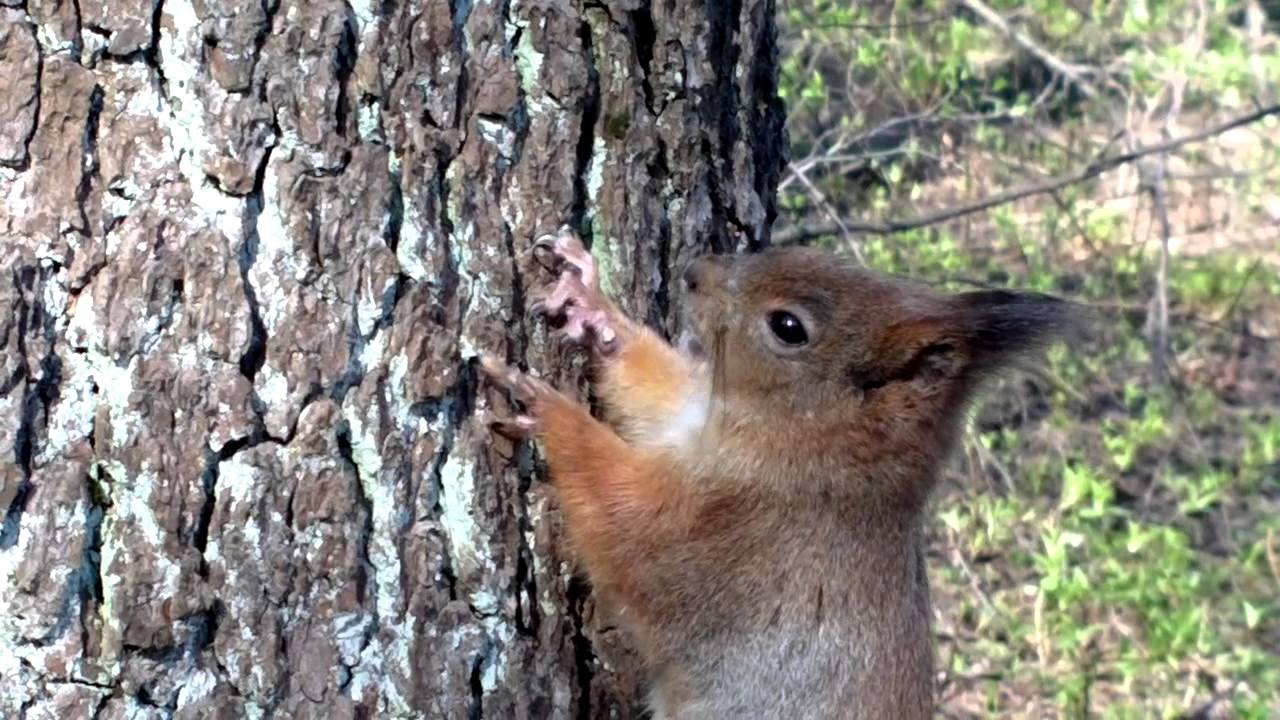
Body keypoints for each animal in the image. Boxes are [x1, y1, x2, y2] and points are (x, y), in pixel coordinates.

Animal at [479, 229, 1076, 719]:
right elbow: (657, 390)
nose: (693, 272)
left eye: (788, 327)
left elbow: (623, 525)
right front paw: (590, 304)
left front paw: (546, 408)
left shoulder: (726, 537)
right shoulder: (696, 415)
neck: (823, 455)